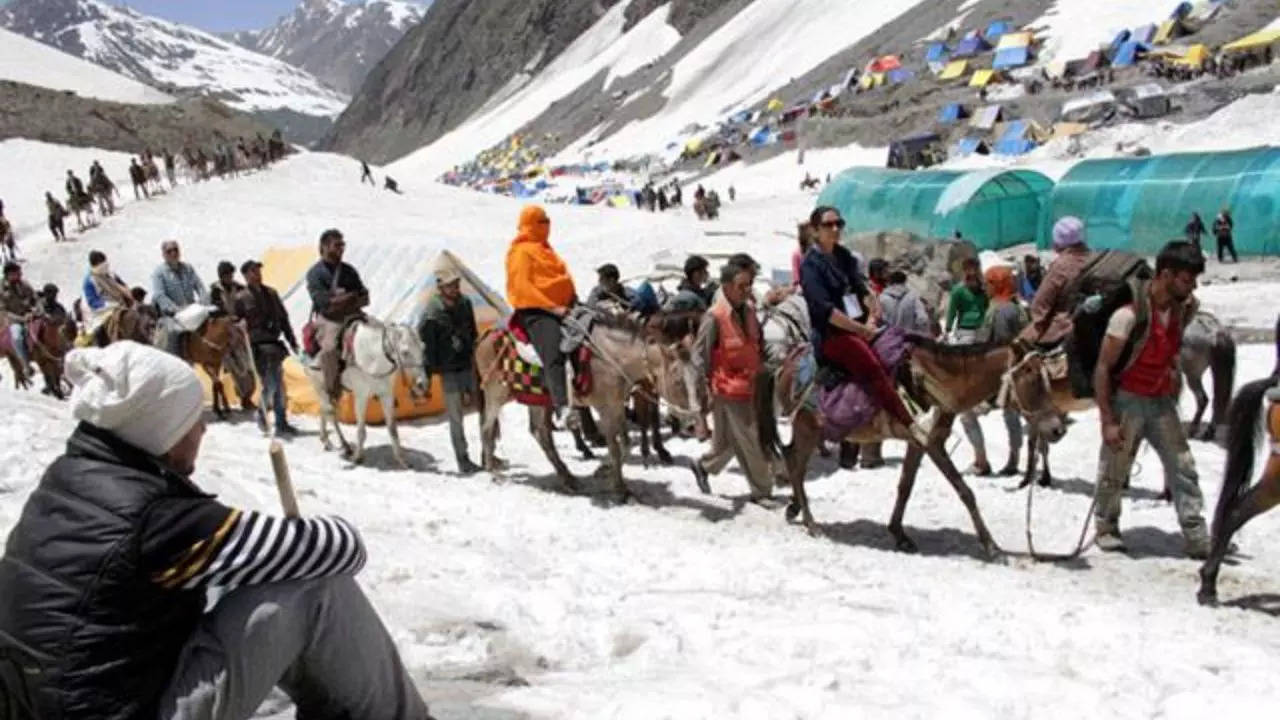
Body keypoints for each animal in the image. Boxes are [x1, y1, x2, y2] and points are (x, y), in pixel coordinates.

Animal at [302, 317, 427, 466]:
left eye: (423, 348)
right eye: (405, 352)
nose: (421, 384)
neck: (373, 359)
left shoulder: (386, 395)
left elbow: (392, 429)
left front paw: (402, 460)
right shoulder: (361, 397)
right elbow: (361, 430)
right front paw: (357, 457)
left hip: (332, 390)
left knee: (324, 411)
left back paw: (327, 441)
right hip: (320, 386)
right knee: (330, 414)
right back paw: (344, 446)